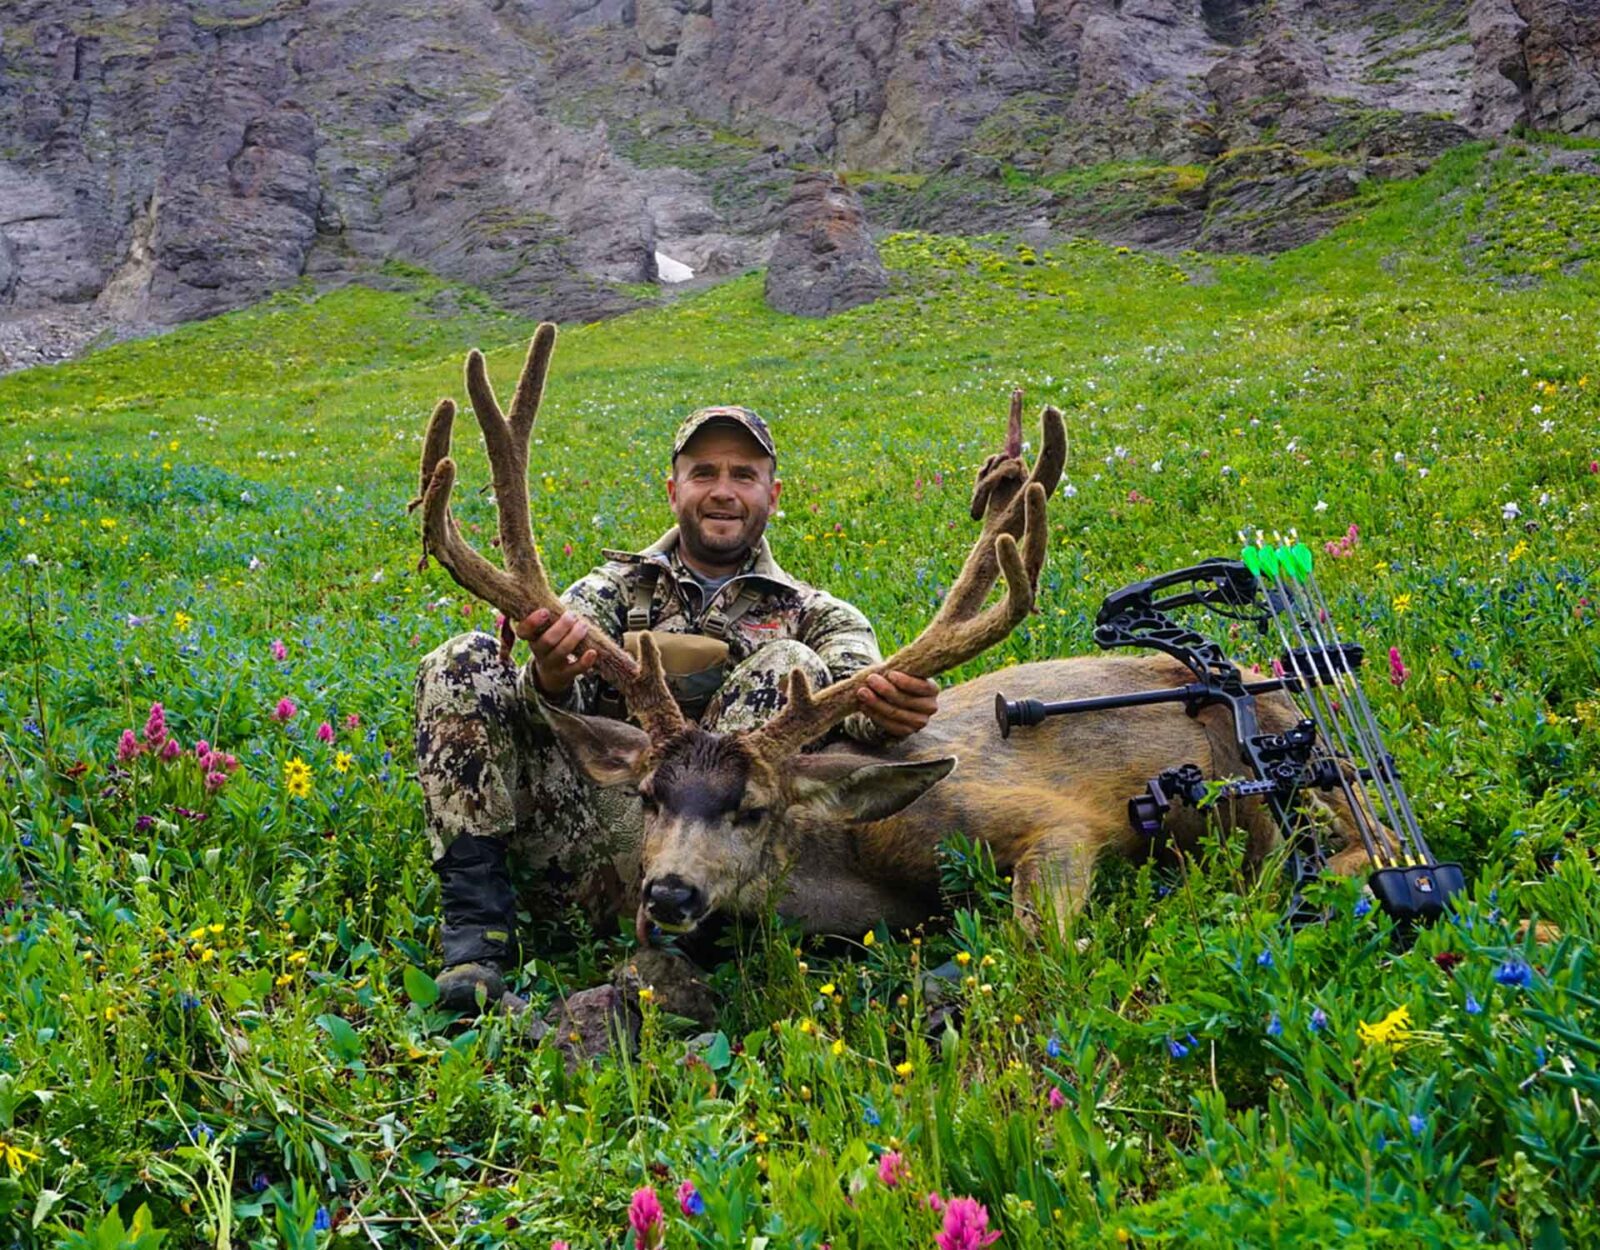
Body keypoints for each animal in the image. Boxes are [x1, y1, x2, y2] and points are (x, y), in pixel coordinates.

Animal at [414, 324, 1384, 948]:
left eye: (752, 808)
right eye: (650, 796)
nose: (670, 891)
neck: (854, 870)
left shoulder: (1057, 821)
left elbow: (1036, 944)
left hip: (1303, 784)